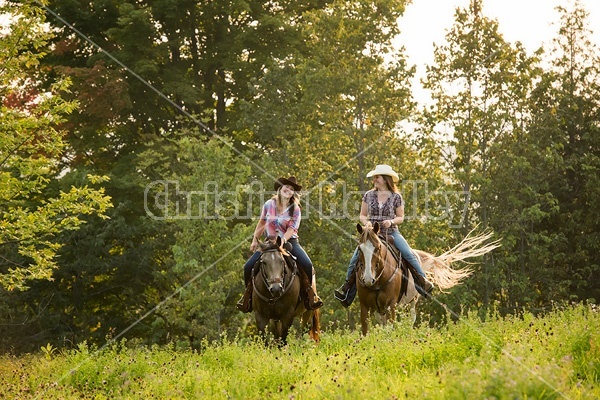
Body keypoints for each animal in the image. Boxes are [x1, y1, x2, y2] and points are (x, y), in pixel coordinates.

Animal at [354, 223, 500, 336]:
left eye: (378, 247)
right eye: (359, 248)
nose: (368, 278)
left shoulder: (391, 305)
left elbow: (390, 328)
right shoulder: (365, 305)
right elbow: (365, 331)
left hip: (412, 301)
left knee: (411, 318)